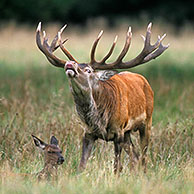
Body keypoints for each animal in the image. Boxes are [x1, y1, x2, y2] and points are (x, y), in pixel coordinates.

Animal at [35, 22, 169, 173]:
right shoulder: (88, 132)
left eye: (88, 70)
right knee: (135, 156)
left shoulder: (118, 130)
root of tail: (144, 80)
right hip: (128, 132)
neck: (100, 119)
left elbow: (117, 166)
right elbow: (82, 164)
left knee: (144, 156)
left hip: (147, 121)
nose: (70, 63)